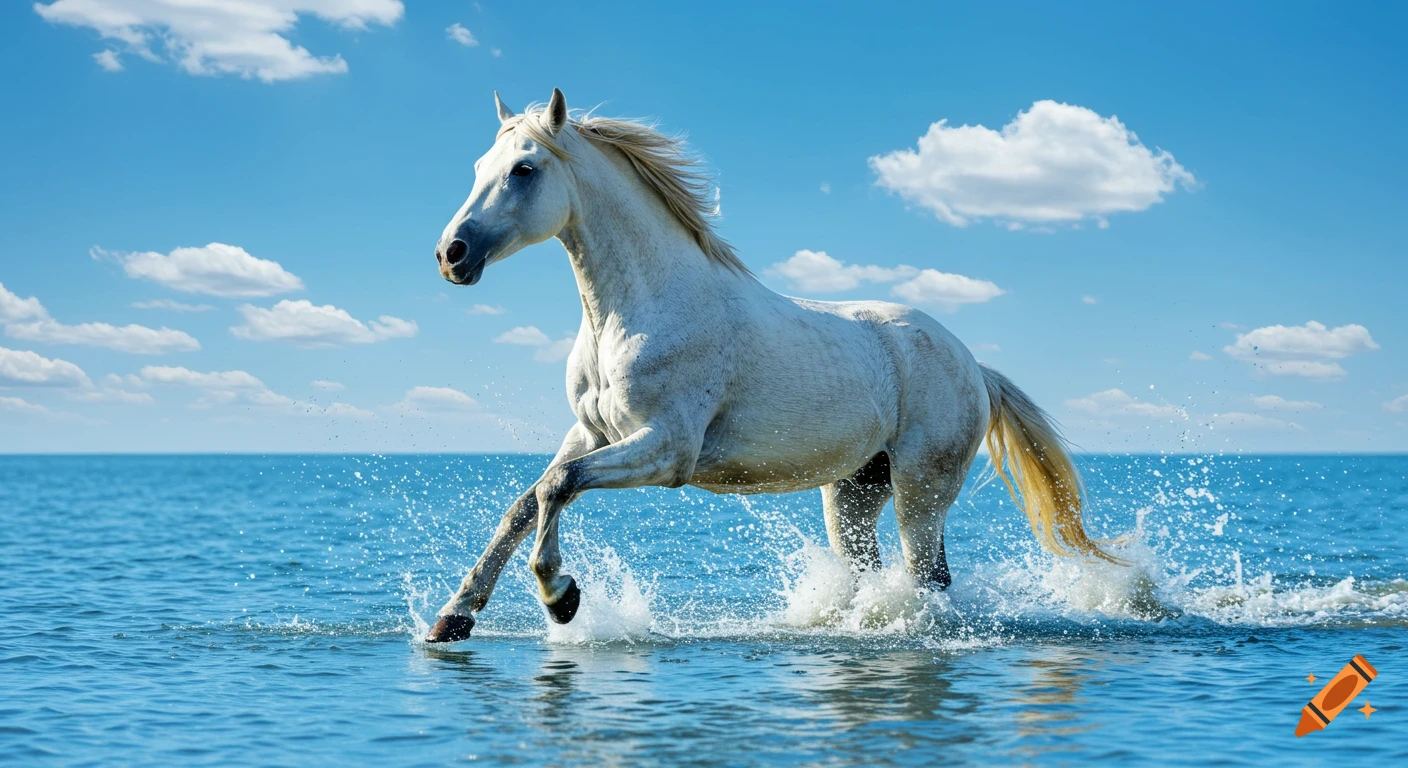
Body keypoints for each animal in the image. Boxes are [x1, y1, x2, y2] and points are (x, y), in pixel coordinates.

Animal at [424, 88, 1117, 643]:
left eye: (525, 168)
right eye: (481, 167)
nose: (451, 254)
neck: (641, 309)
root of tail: (974, 365)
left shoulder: (667, 449)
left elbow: (556, 488)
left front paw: (561, 599)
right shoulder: (592, 433)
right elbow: (526, 502)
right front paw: (453, 618)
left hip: (921, 487)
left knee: (929, 576)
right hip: (853, 493)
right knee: (882, 570)